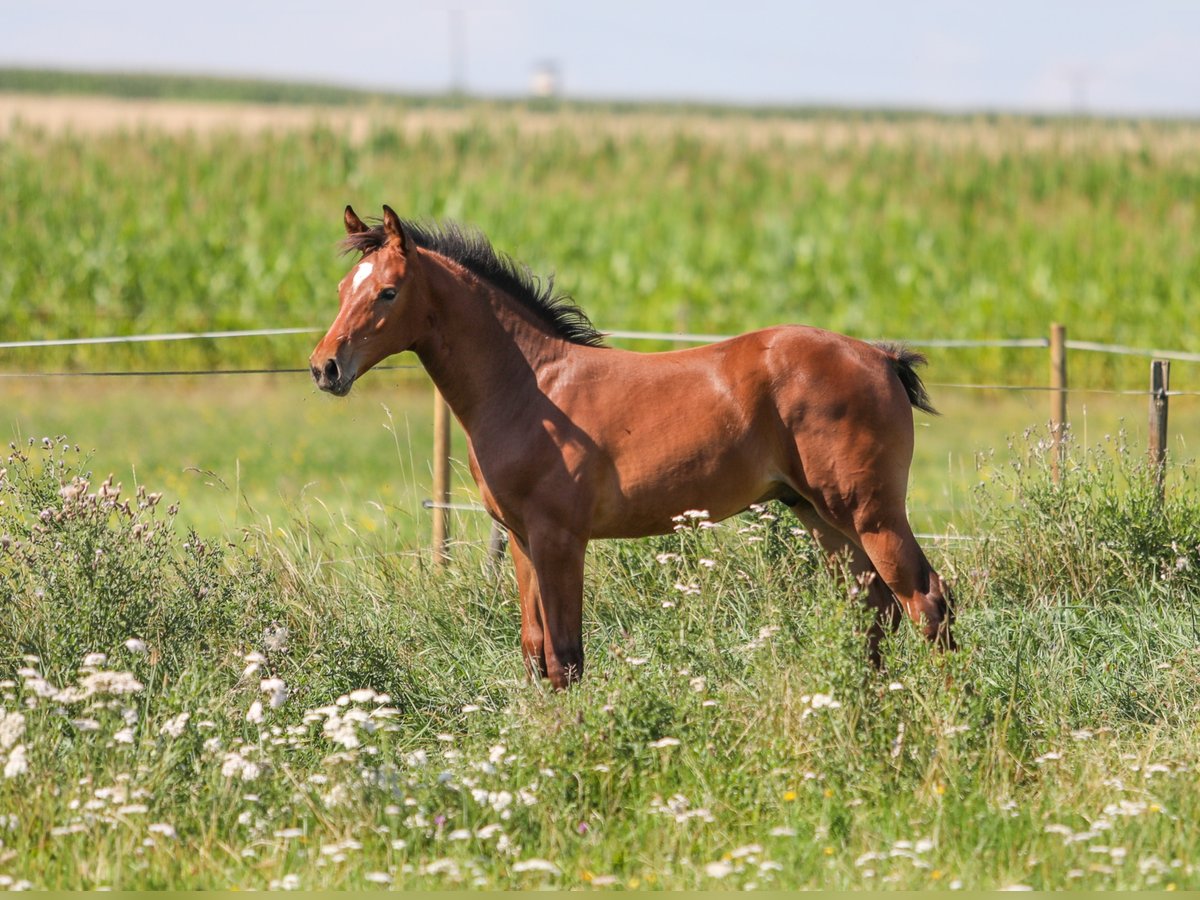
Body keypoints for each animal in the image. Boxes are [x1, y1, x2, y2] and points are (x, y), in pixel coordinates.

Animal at [309, 207, 955, 691]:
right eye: (341, 288)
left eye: (388, 292)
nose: (325, 367)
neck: (531, 388)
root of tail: (882, 358)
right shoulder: (520, 539)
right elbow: (534, 649)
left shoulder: (559, 539)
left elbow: (565, 658)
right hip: (819, 515)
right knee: (876, 609)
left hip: (870, 513)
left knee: (927, 602)